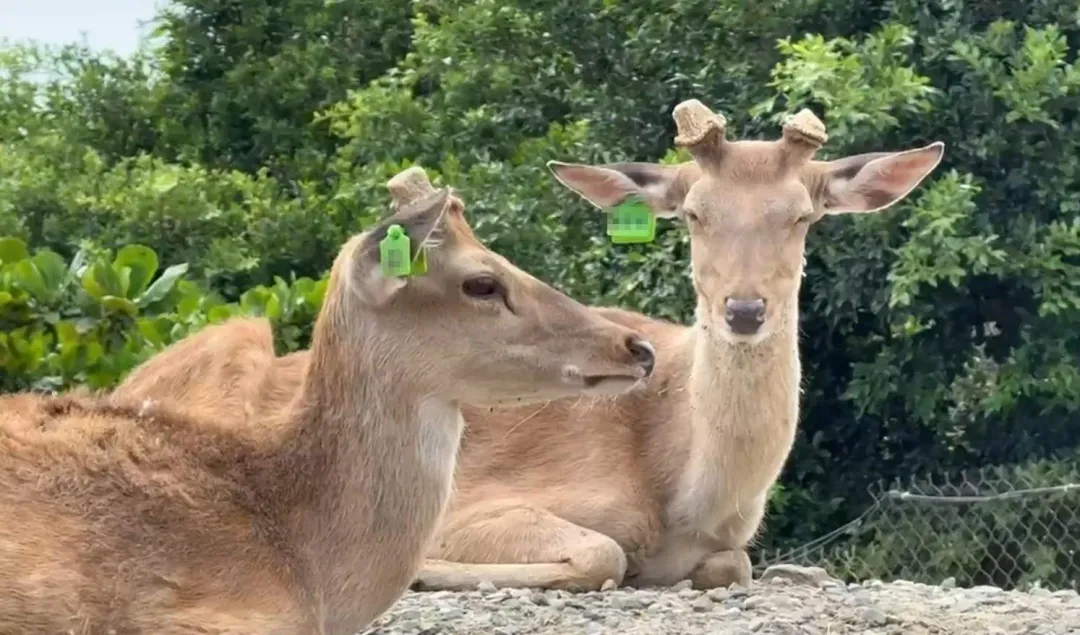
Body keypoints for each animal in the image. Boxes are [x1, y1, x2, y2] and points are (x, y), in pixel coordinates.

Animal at [111, 100, 945, 593]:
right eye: (693, 213)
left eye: (803, 214)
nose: (743, 309)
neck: (685, 487)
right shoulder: (482, 499)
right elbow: (603, 551)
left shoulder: (729, 543)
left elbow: (733, 564)